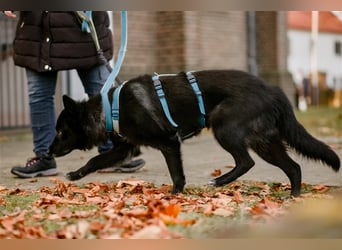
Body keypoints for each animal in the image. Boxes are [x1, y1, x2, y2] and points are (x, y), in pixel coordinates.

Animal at [47, 69, 340, 196]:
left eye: (60, 131)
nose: (47, 151)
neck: (111, 108)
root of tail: (274, 90)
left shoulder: (169, 142)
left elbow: (176, 173)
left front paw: (175, 196)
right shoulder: (126, 148)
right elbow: (95, 160)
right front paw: (76, 174)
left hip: (224, 126)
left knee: (246, 161)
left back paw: (220, 181)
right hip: (265, 142)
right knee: (293, 167)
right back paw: (294, 197)